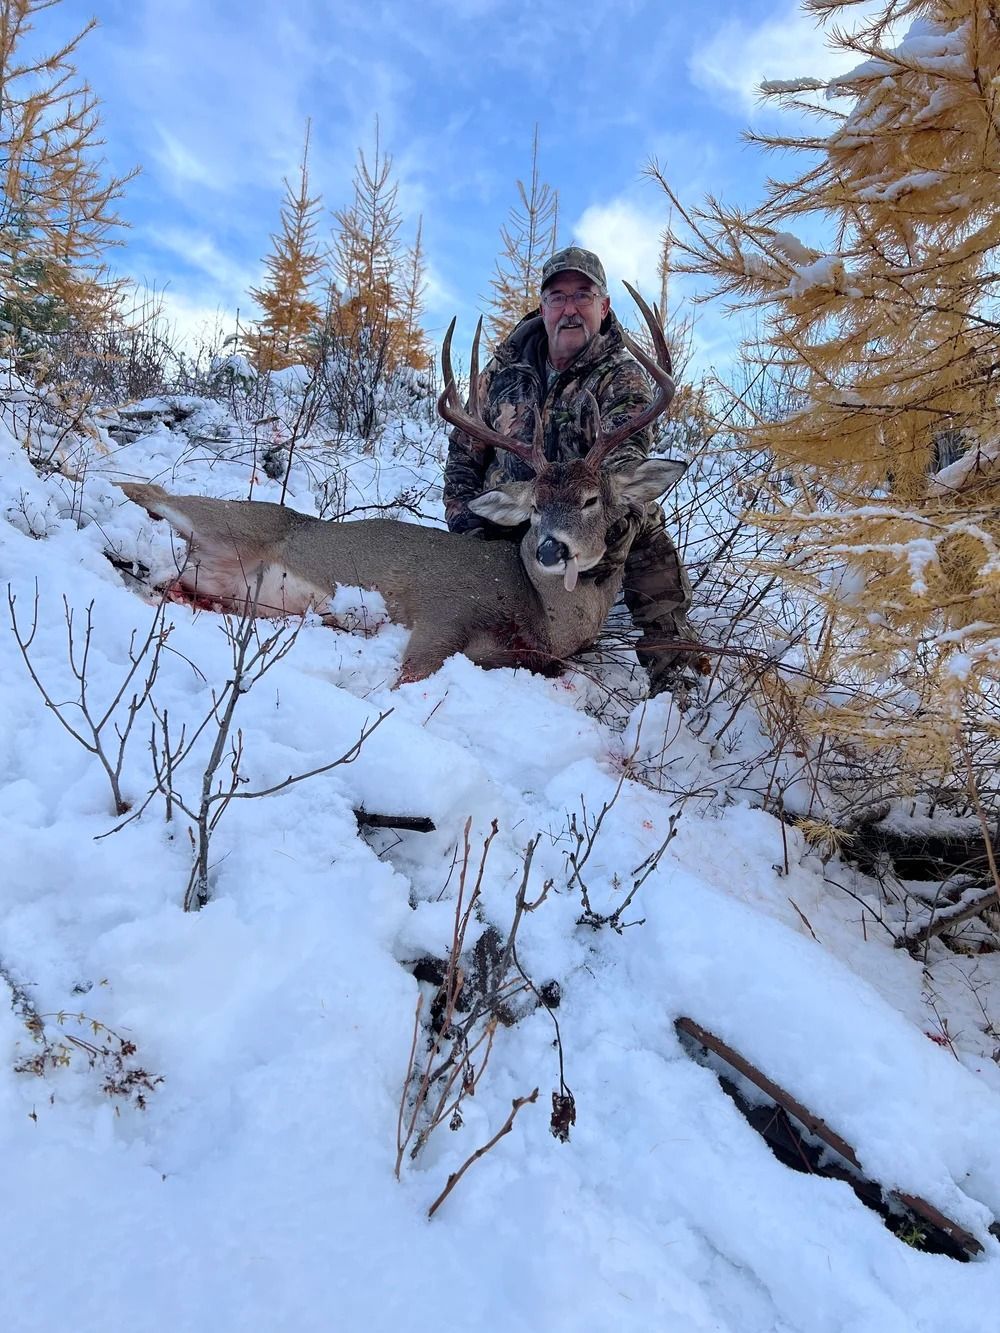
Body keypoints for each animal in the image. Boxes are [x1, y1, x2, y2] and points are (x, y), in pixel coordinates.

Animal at [118, 283, 685, 685]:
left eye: (590, 499)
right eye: (535, 508)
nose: (550, 549)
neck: (540, 613)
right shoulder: (443, 611)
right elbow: (406, 677)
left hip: (223, 588)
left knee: (167, 579)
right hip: (235, 521)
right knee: (149, 493)